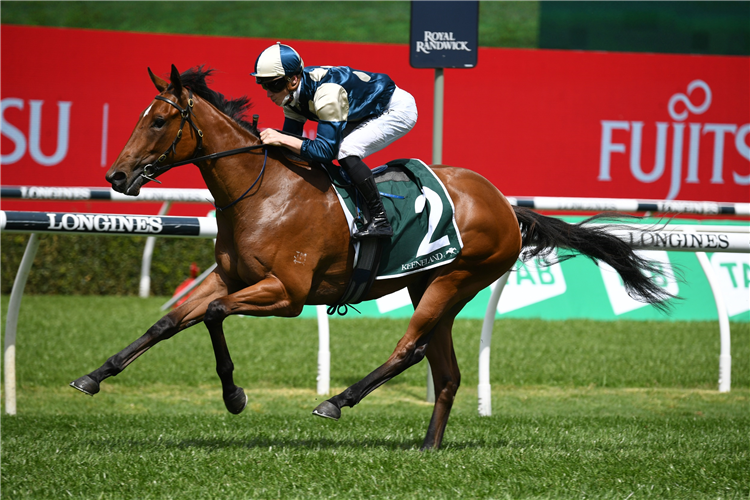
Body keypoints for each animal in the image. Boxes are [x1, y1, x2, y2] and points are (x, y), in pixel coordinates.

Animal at [70, 64, 672, 452]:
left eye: (158, 121)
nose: (117, 176)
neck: (261, 192)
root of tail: (505, 204)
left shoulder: (287, 294)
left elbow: (214, 316)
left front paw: (235, 396)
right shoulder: (228, 276)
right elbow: (173, 320)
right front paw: (95, 376)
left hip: (455, 280)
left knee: (410, 348)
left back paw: (338, 400)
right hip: (430, 284)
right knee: (445, 371)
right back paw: (427, 448)